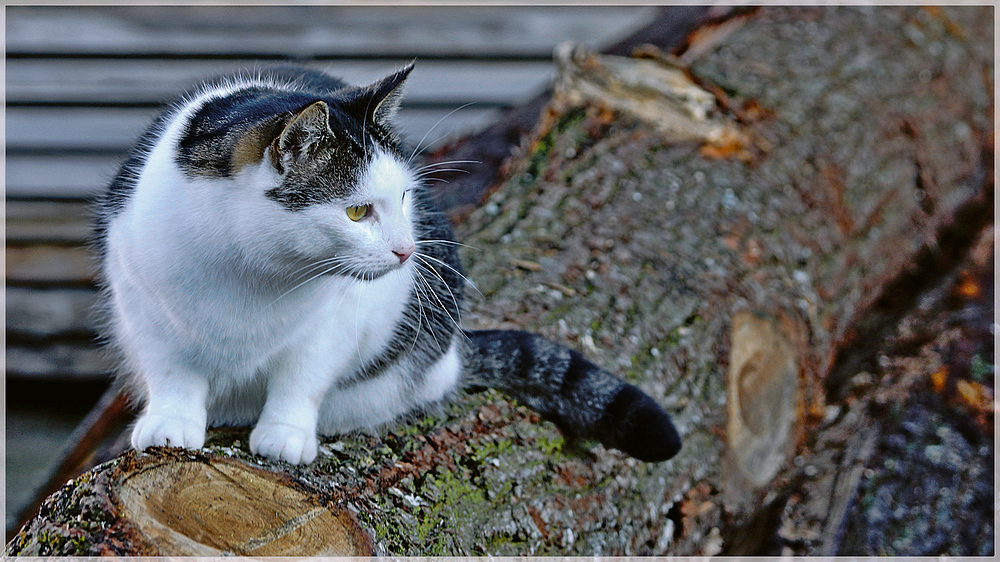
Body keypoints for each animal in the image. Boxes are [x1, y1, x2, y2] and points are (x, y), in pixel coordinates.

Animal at [94, 61, 680, 464]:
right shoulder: (145, 309)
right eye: (357, 211)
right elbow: (173, 373)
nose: (406, 250)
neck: (250, 271)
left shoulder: (333, 324)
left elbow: (300, 378)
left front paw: (285, 434)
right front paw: (170, 423)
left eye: (404, 198)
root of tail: (454, 356)